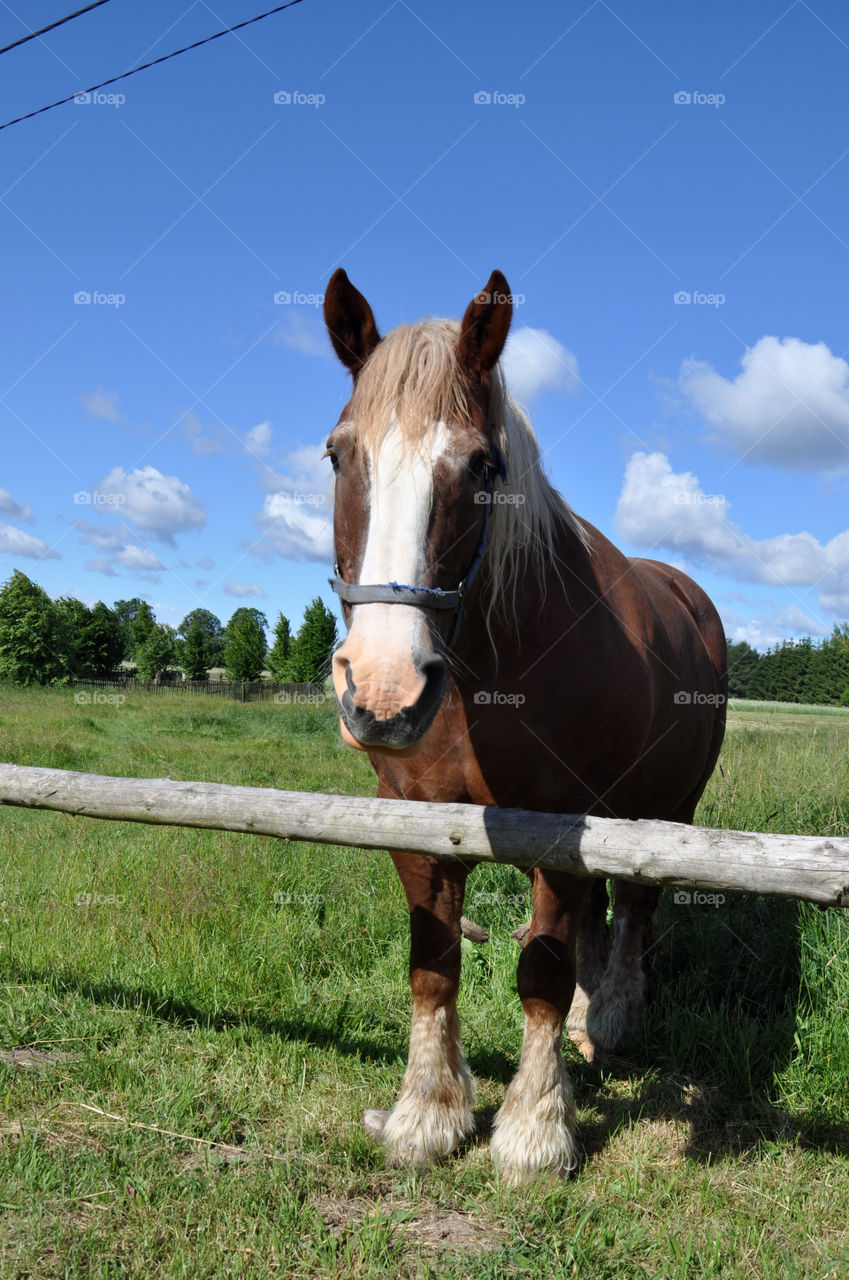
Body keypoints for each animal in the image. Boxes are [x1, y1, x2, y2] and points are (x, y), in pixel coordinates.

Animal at [322, 267, 727, 1177]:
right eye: (338, 453)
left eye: (481, 464)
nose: (383, 690)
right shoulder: (414, 820)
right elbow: (433, 967)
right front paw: (427, 1115)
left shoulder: (562, 826)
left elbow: (540, 973)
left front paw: (535, 1131)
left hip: (665, 808)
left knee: (634, 907)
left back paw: (607, 1018)